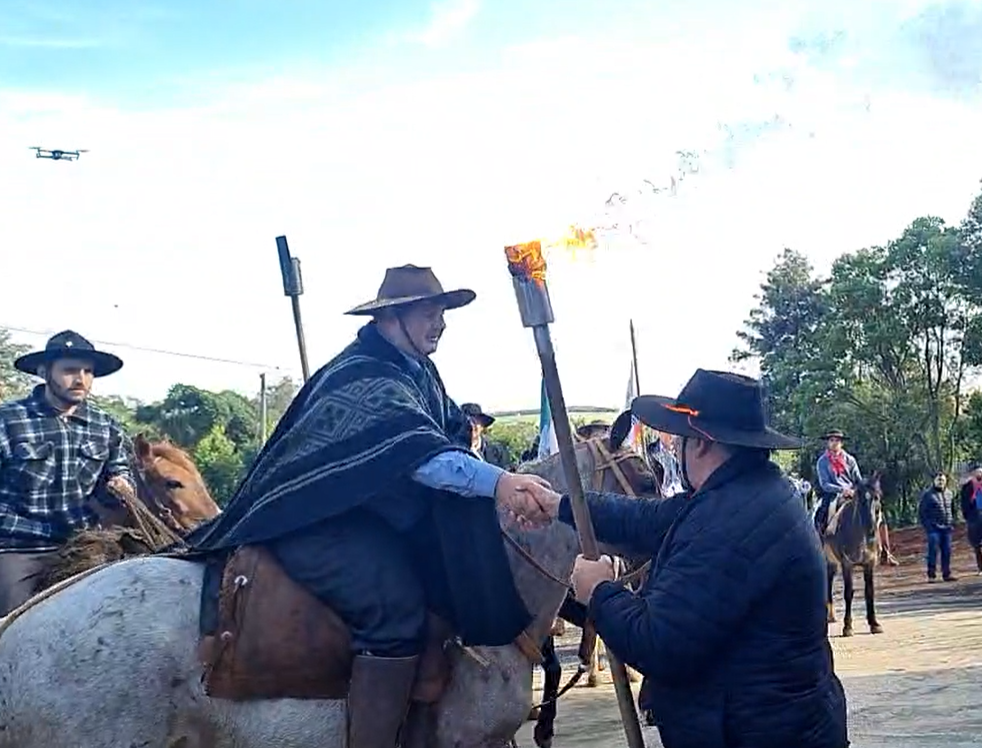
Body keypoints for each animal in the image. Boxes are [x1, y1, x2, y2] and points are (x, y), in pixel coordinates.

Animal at [820, 474, 888, 636]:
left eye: (877, 497)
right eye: (860, 499)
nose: (871, 530)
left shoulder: (869, 563)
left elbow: (869, 592)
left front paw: (874, 624)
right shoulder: (847, 564)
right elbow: (848, 593)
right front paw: (847, 626)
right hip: (828, 560)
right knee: (828, 583)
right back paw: (830, 616)